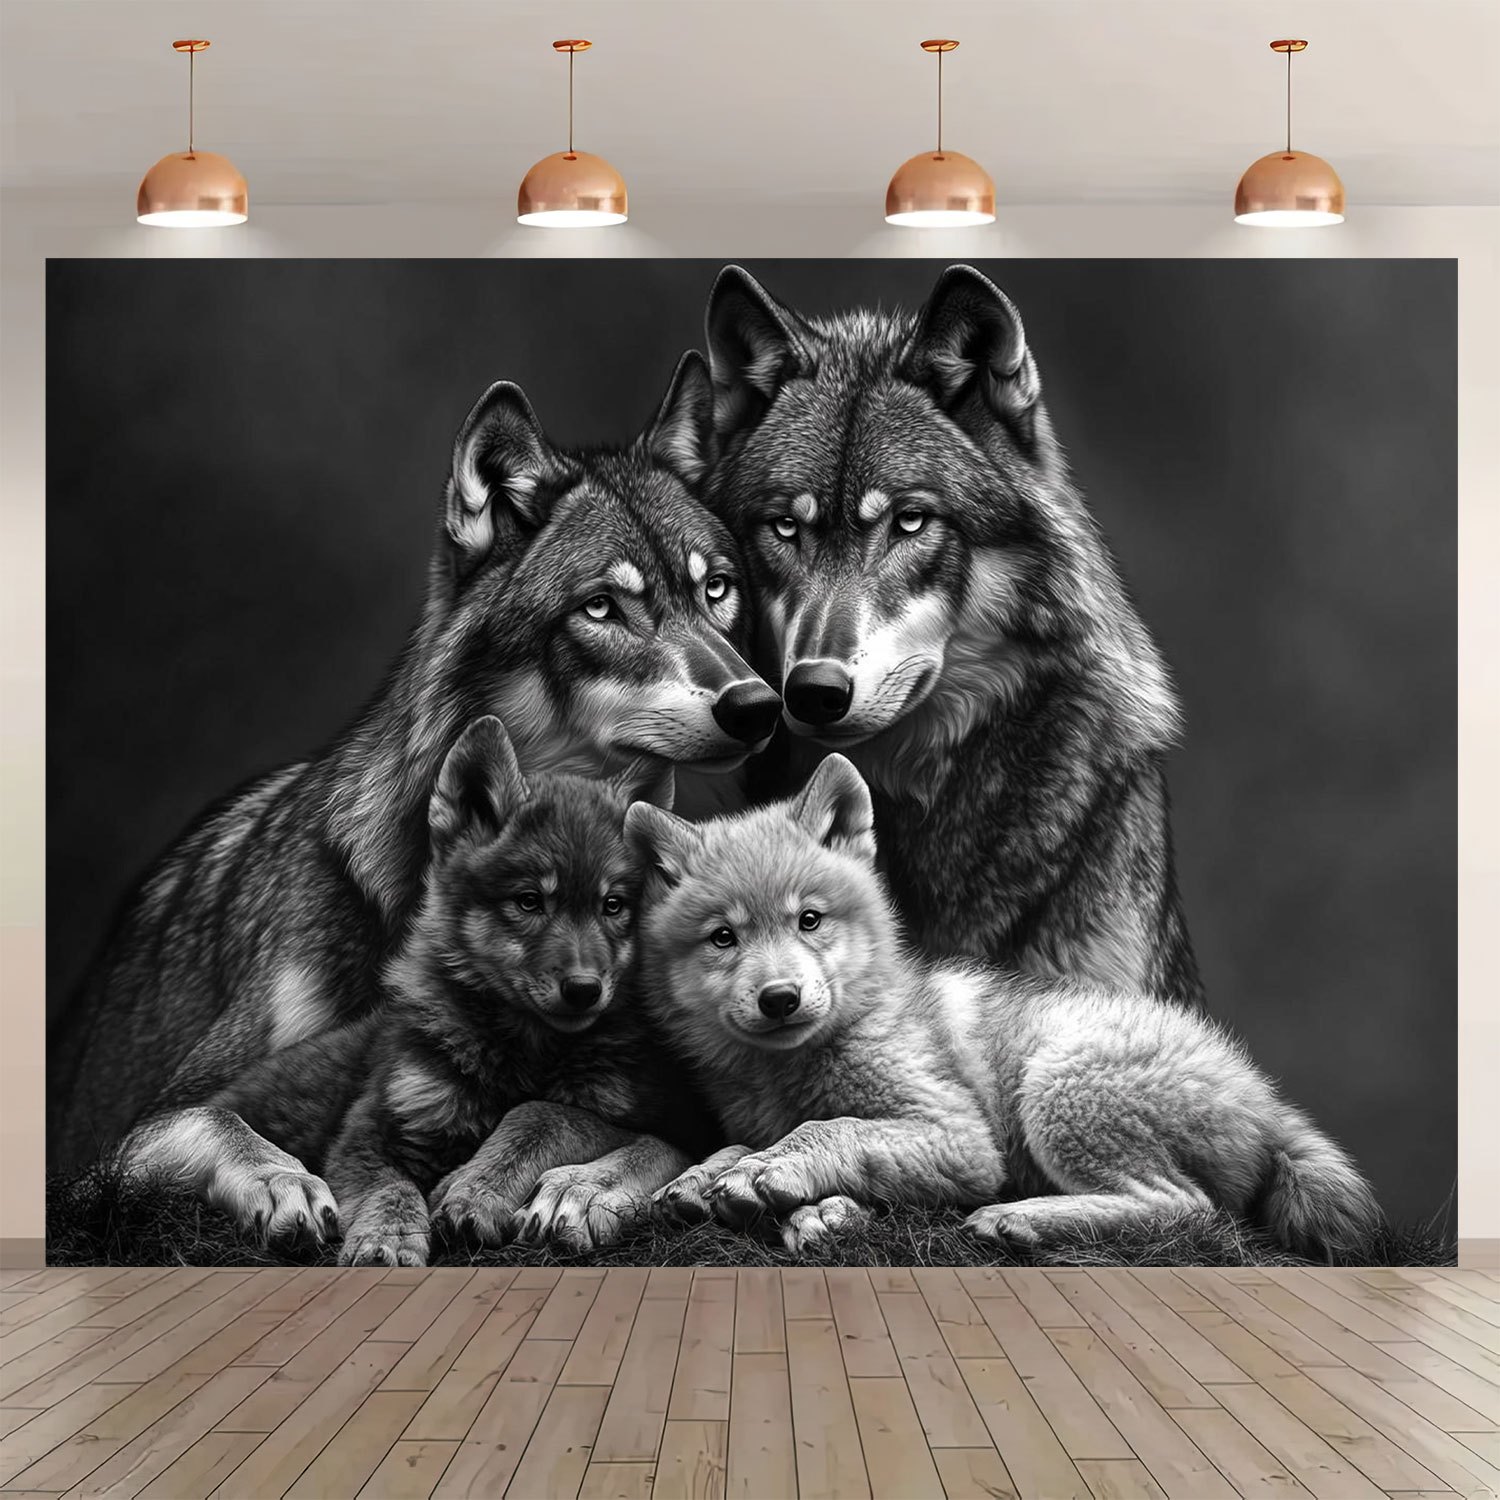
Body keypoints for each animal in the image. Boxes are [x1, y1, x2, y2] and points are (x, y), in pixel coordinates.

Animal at [116, 716, 713, 1262]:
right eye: (528, 901)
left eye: (613, 906)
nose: (585, 989)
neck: (521, 1057)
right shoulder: (366, 1135)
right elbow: (392, 1189)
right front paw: (387, 1240)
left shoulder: (650, 1119)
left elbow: (543, 1115)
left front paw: (479, 1188)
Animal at [630, 756, 1379, 1261]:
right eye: (723, 938)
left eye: (808, 920)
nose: (780, 999)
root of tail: (1264, 1098)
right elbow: (740, 1143)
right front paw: (712, 1177)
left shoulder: (962, 1139)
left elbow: (831, 1129)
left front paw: (774, 1174)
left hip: (1058, 1087)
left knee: (1189, 1210)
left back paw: (1021, 1219)